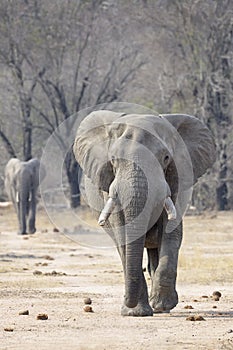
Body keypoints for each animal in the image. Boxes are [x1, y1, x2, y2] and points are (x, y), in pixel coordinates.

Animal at [73, 110, 216, 318]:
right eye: (113, 160)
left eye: (166, 157)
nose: (126, 300)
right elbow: (123, 236)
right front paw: (135, 313)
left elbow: (171, 232)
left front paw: (162, 305)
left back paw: (160, 307)